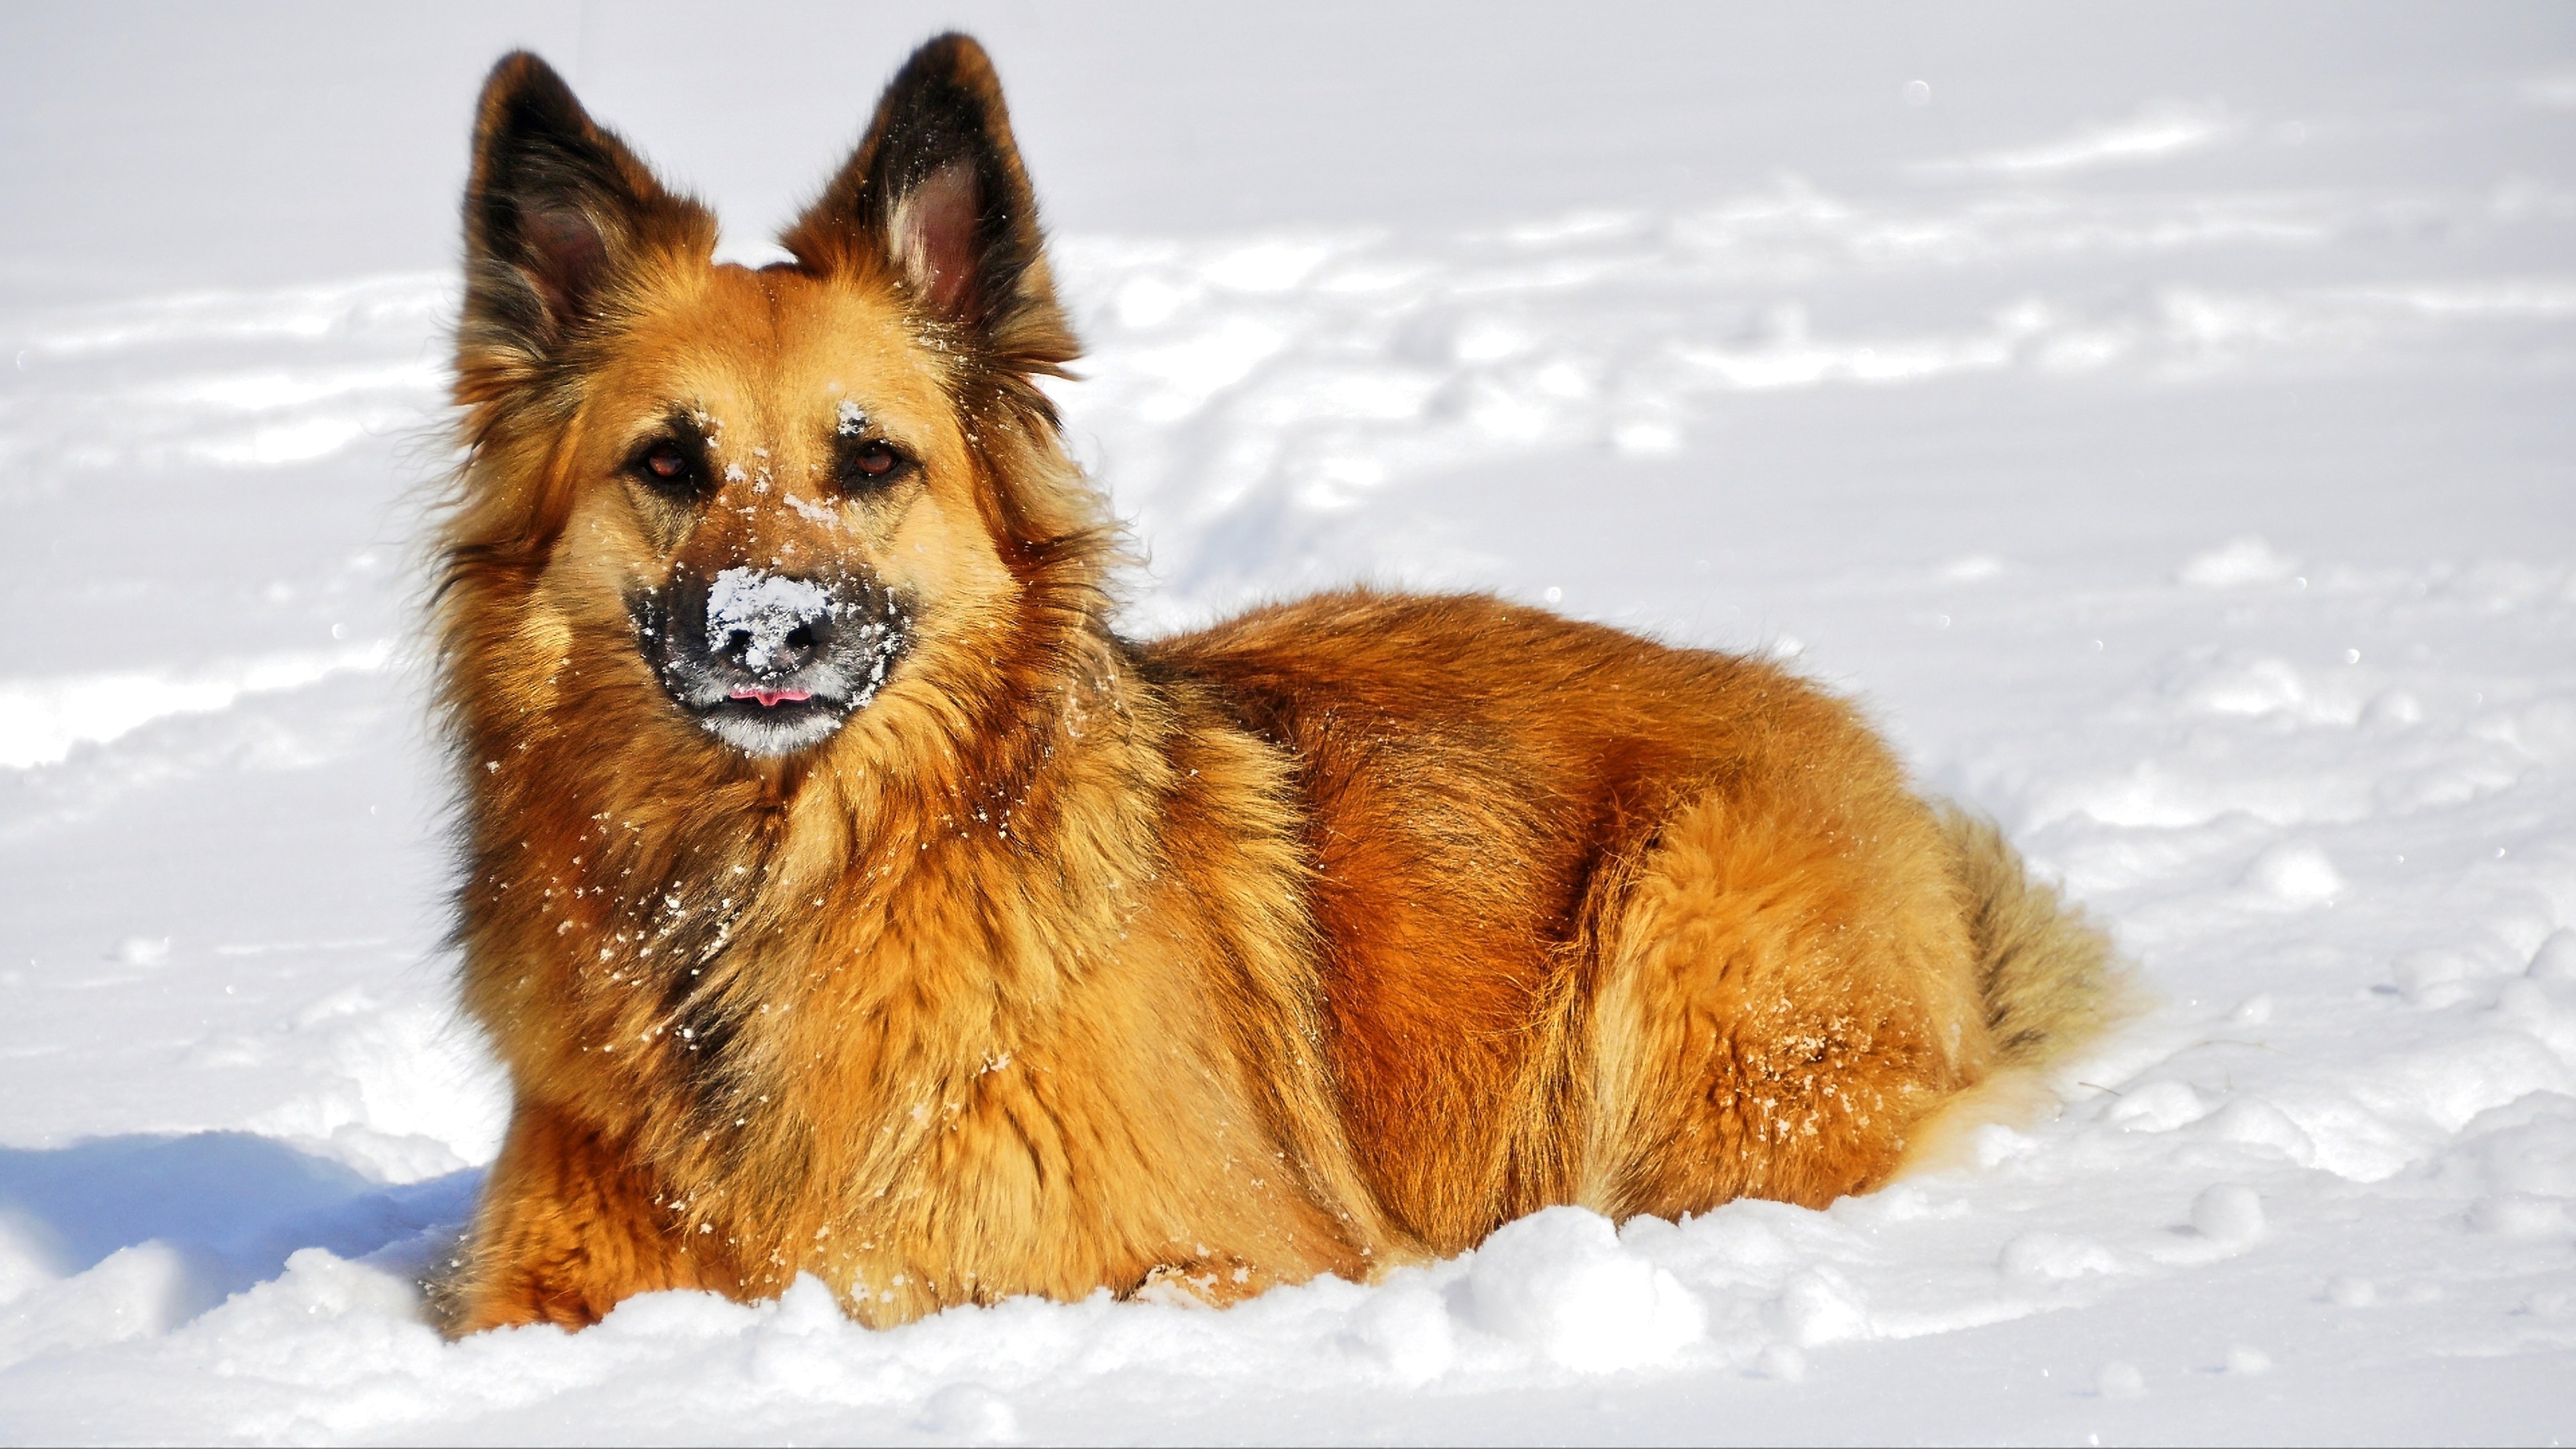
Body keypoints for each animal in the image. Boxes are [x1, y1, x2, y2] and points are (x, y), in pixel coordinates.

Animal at [433, 31, 2123, 1330]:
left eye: (870, 462)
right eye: (670, 463)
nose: (765, 633)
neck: (760, 889)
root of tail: (1875, 766)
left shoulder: (1226, 1258)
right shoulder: (534, 1290)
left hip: (1679, 966)